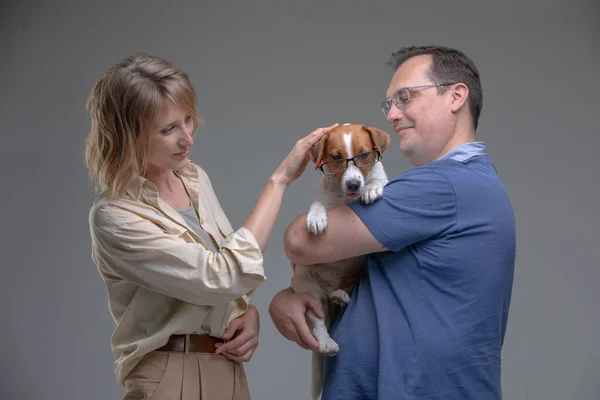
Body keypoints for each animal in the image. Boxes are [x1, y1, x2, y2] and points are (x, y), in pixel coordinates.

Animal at [290, 122, 392, 400]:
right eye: (336, 157)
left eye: (364, 154)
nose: (355, 184)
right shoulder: (324, 198)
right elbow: (318, 204)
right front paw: (316, 216)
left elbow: (379, 179)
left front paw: (372, 187)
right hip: (309, 290)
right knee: (317, 323)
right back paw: (327, 340)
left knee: (350, 287)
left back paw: (342, 295)